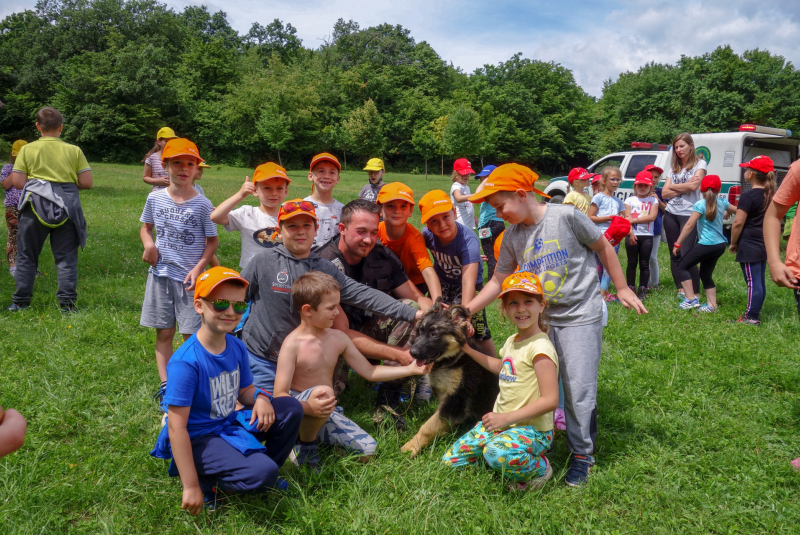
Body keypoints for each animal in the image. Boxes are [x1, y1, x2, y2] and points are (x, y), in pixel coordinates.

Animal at [404, 300, 496, 458]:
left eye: (434, 334)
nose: (412, 353)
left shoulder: (456, 400)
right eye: (420, 331)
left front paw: (411, 446)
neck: (452, 360)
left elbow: (427, 426)